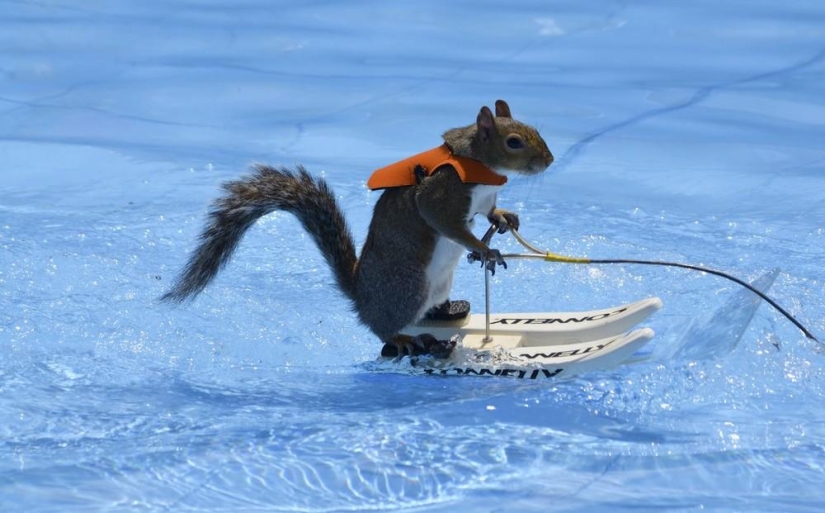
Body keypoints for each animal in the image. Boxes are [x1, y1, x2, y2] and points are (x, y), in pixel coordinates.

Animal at [162, 99, 553, 357]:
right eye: (514, 142)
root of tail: (361, 295)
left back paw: (447, 312)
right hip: (408, 287)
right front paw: (485, 249)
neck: (480, 165)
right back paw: (402, 339)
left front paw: (504, 218)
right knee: (382, 327)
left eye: (536, 131)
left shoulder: (483, 200)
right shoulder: (443, 192)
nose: (549, 160)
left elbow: (489, 213)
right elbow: (443, 220)